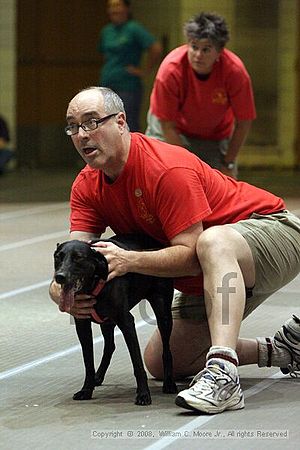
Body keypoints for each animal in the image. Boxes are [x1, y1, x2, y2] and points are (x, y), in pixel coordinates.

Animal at [53, 234, 177, 406]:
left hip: (163, 312)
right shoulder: (82, 325)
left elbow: (137, 363)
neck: (95, 284)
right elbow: (88, 362)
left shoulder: (127, 322)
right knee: (110, 346)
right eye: (58, 257)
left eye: (78, 258)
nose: (60, 276)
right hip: (107, 322)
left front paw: (143, 394)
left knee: (166, 349)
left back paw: (169, 383)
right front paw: (86, 390)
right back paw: (98, 377)